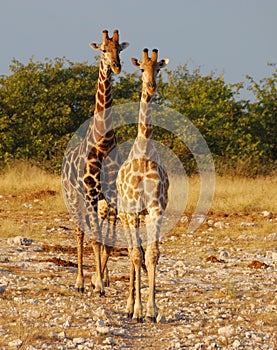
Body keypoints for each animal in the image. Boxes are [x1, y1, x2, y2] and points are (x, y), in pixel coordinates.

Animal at [61, 30, 128, 296]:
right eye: (103, 49)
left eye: (119, 49)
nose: (117, 66)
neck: (103, 143)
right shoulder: (90, 194)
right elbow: (95, 238)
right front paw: (95, 283)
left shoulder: (112, 196)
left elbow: (107, 240)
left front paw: (101, 279)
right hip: (74, 197)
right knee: (80, 232)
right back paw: (79, 281)